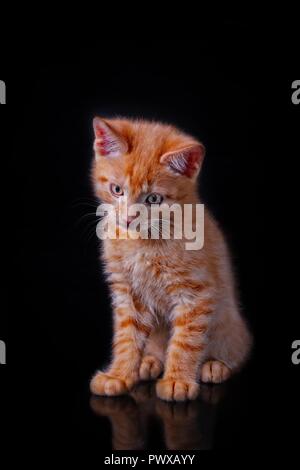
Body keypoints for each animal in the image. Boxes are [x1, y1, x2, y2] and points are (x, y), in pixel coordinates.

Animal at [89, 116, 253, 400]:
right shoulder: (127, 291)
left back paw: (215, 365)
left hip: (230, 327)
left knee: (236, 350)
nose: (129, 218)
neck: (143, 240)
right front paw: (119, 375)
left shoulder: (196, 293)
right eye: (117, 189)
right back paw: (150, 361)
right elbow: (126, 337)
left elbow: (185, 340)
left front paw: (177, 380)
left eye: (154, 198)